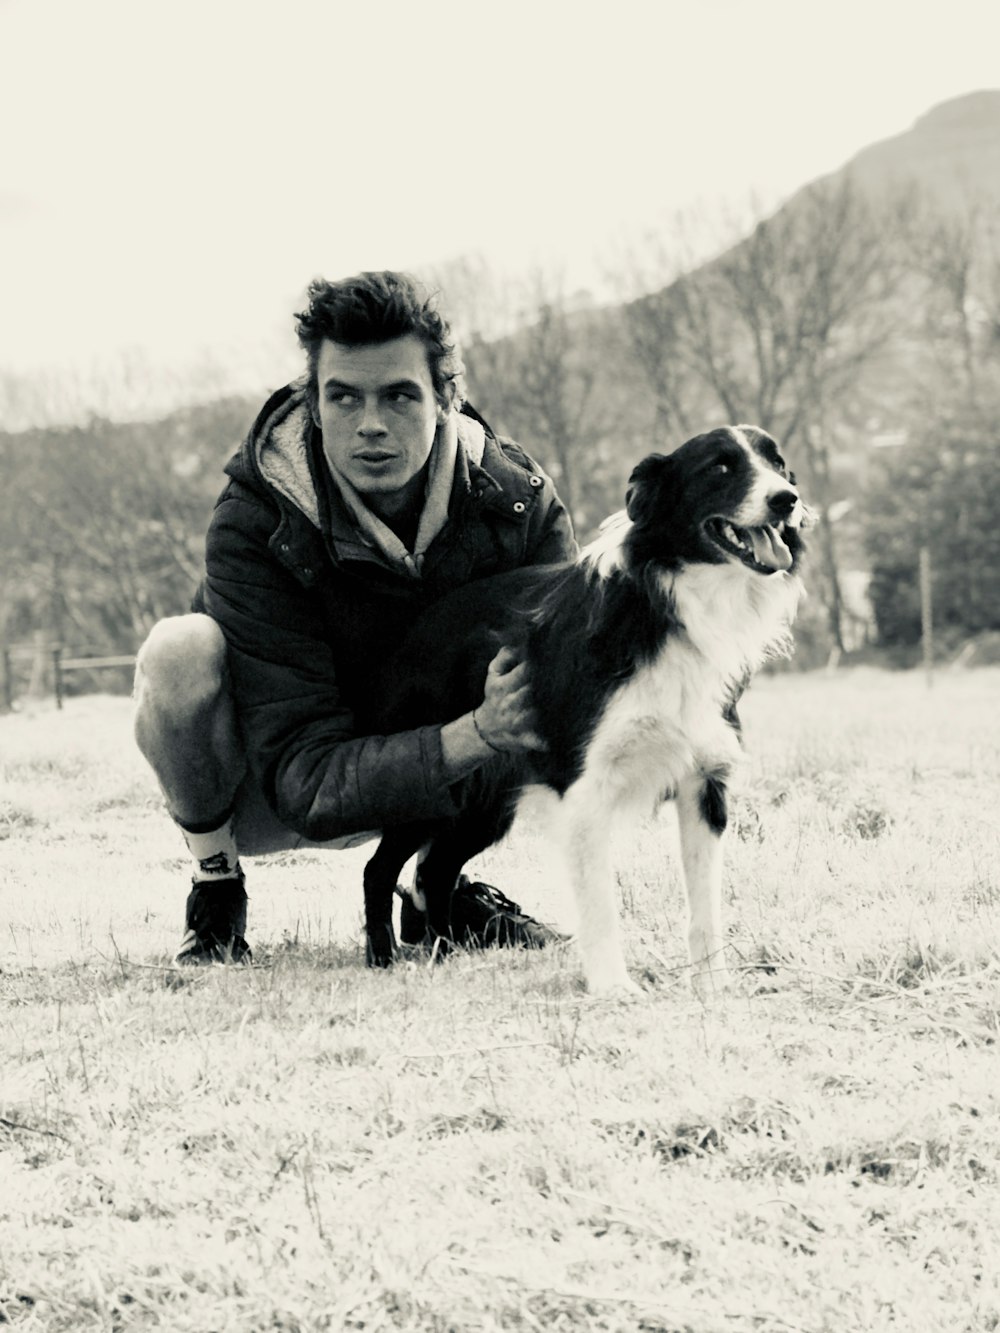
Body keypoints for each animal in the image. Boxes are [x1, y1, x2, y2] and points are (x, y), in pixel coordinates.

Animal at [365, 421, 810, 997]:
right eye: (720, 467)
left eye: (778, 464)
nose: (788, 499)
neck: (671, 603)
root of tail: (411, 633)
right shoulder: (584, 785)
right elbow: (600, 903)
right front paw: (613, 988)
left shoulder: (704, 782)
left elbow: (705, 906)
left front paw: (711, 989)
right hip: (430, 783)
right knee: (382, 868)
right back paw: (383, 959)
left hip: (483, 801)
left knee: (434, 870)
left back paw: (446, 954)